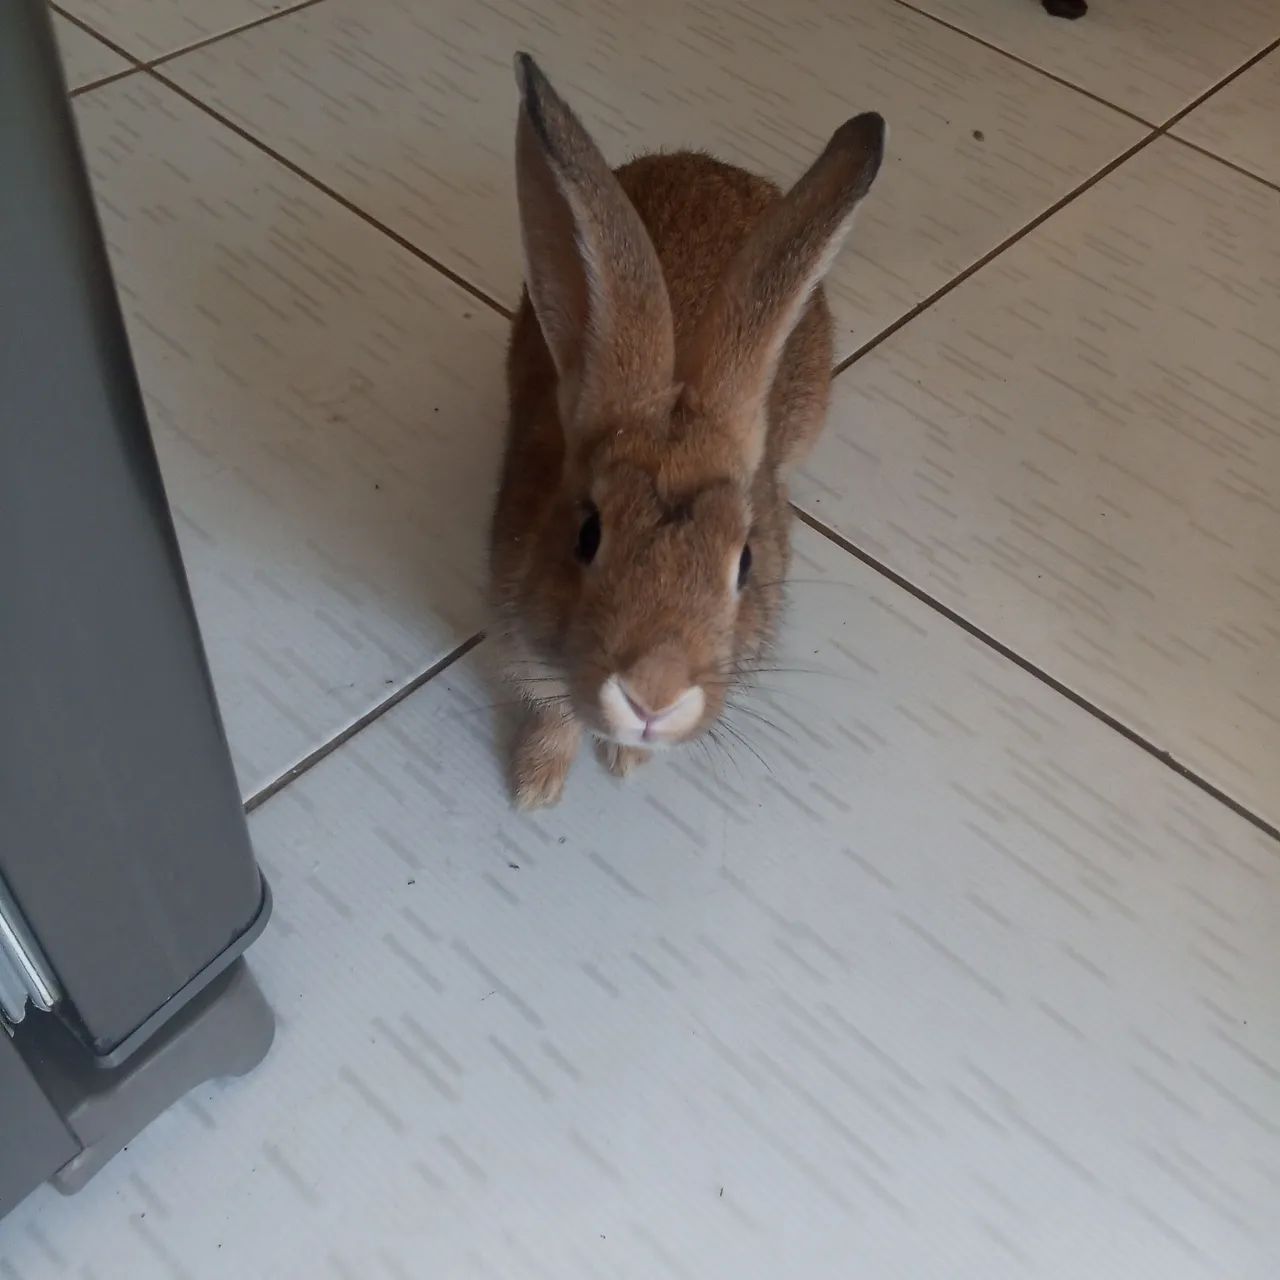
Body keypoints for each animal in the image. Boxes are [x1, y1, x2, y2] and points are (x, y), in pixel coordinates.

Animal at [490, 53, 885, 808]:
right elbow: (554, 712)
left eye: (746, 563)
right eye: (588, 536)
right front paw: (537, 786)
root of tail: (707, 162)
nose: (654, 694)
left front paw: (622, 762)